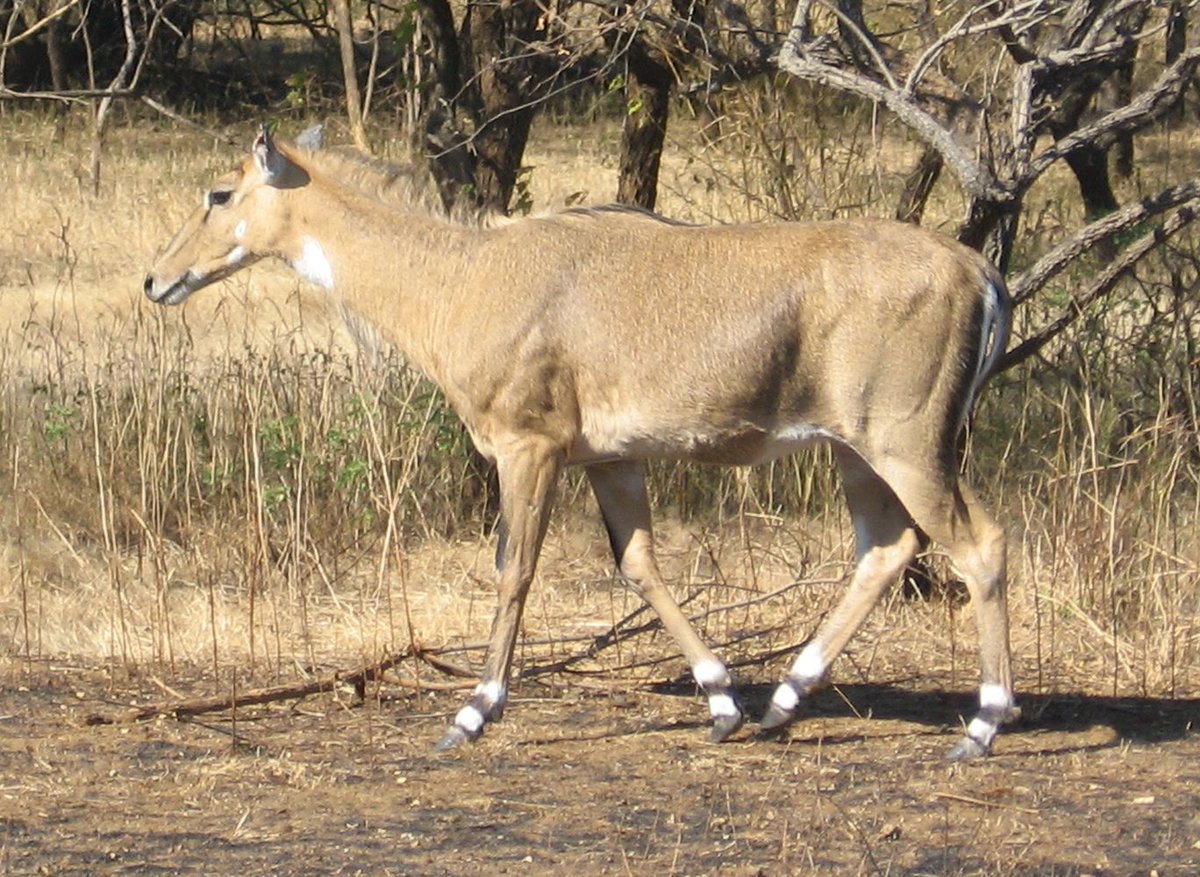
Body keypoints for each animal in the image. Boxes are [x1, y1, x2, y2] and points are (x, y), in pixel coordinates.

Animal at [145, 125, 1017, 763]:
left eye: (219, 192)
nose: (155, 280)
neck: (461, 278)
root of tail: (980, 273)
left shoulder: (527, 444)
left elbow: (514, 568)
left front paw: (472, 712)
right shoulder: (610, 457)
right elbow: (639, 565)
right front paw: (722, 701)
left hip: (908, 439)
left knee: (980, 543)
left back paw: (982, 725)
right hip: (854, 450)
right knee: (886, 547)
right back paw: (782, 701)